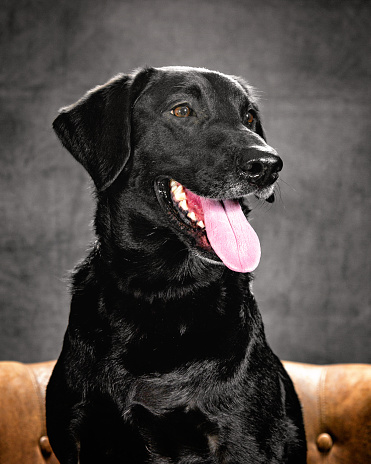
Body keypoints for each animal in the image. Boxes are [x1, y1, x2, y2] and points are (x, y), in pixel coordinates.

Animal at [46, 66, 306, 464]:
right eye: (181, 111)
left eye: (248, 116)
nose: (267, 165)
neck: (161, 291)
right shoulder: (78, 434)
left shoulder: (244, 441)